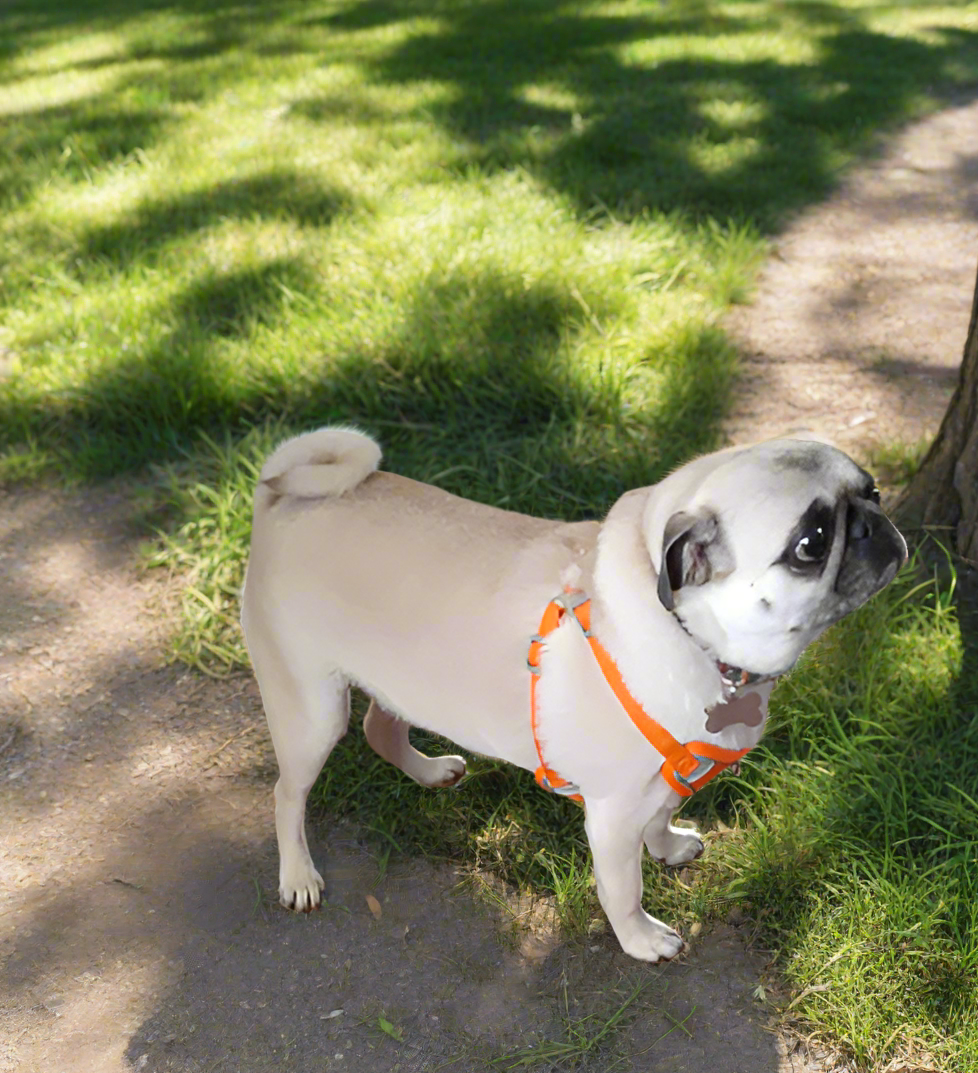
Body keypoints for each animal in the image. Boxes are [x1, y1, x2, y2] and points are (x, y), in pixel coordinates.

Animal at [240, 427, 906, 965]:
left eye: (871, 490)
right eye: (810, 543)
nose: (874, 523)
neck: (696, 641)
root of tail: (279, 498)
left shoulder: (666, 781)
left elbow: (663, 816)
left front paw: (668, 847)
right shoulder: (612, 815)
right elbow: (623, 888)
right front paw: (640, 939)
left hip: (401, 681)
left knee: (381, 731)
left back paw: (429, 773)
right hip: (313, 714)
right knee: (286, 794)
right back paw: (298, 873)